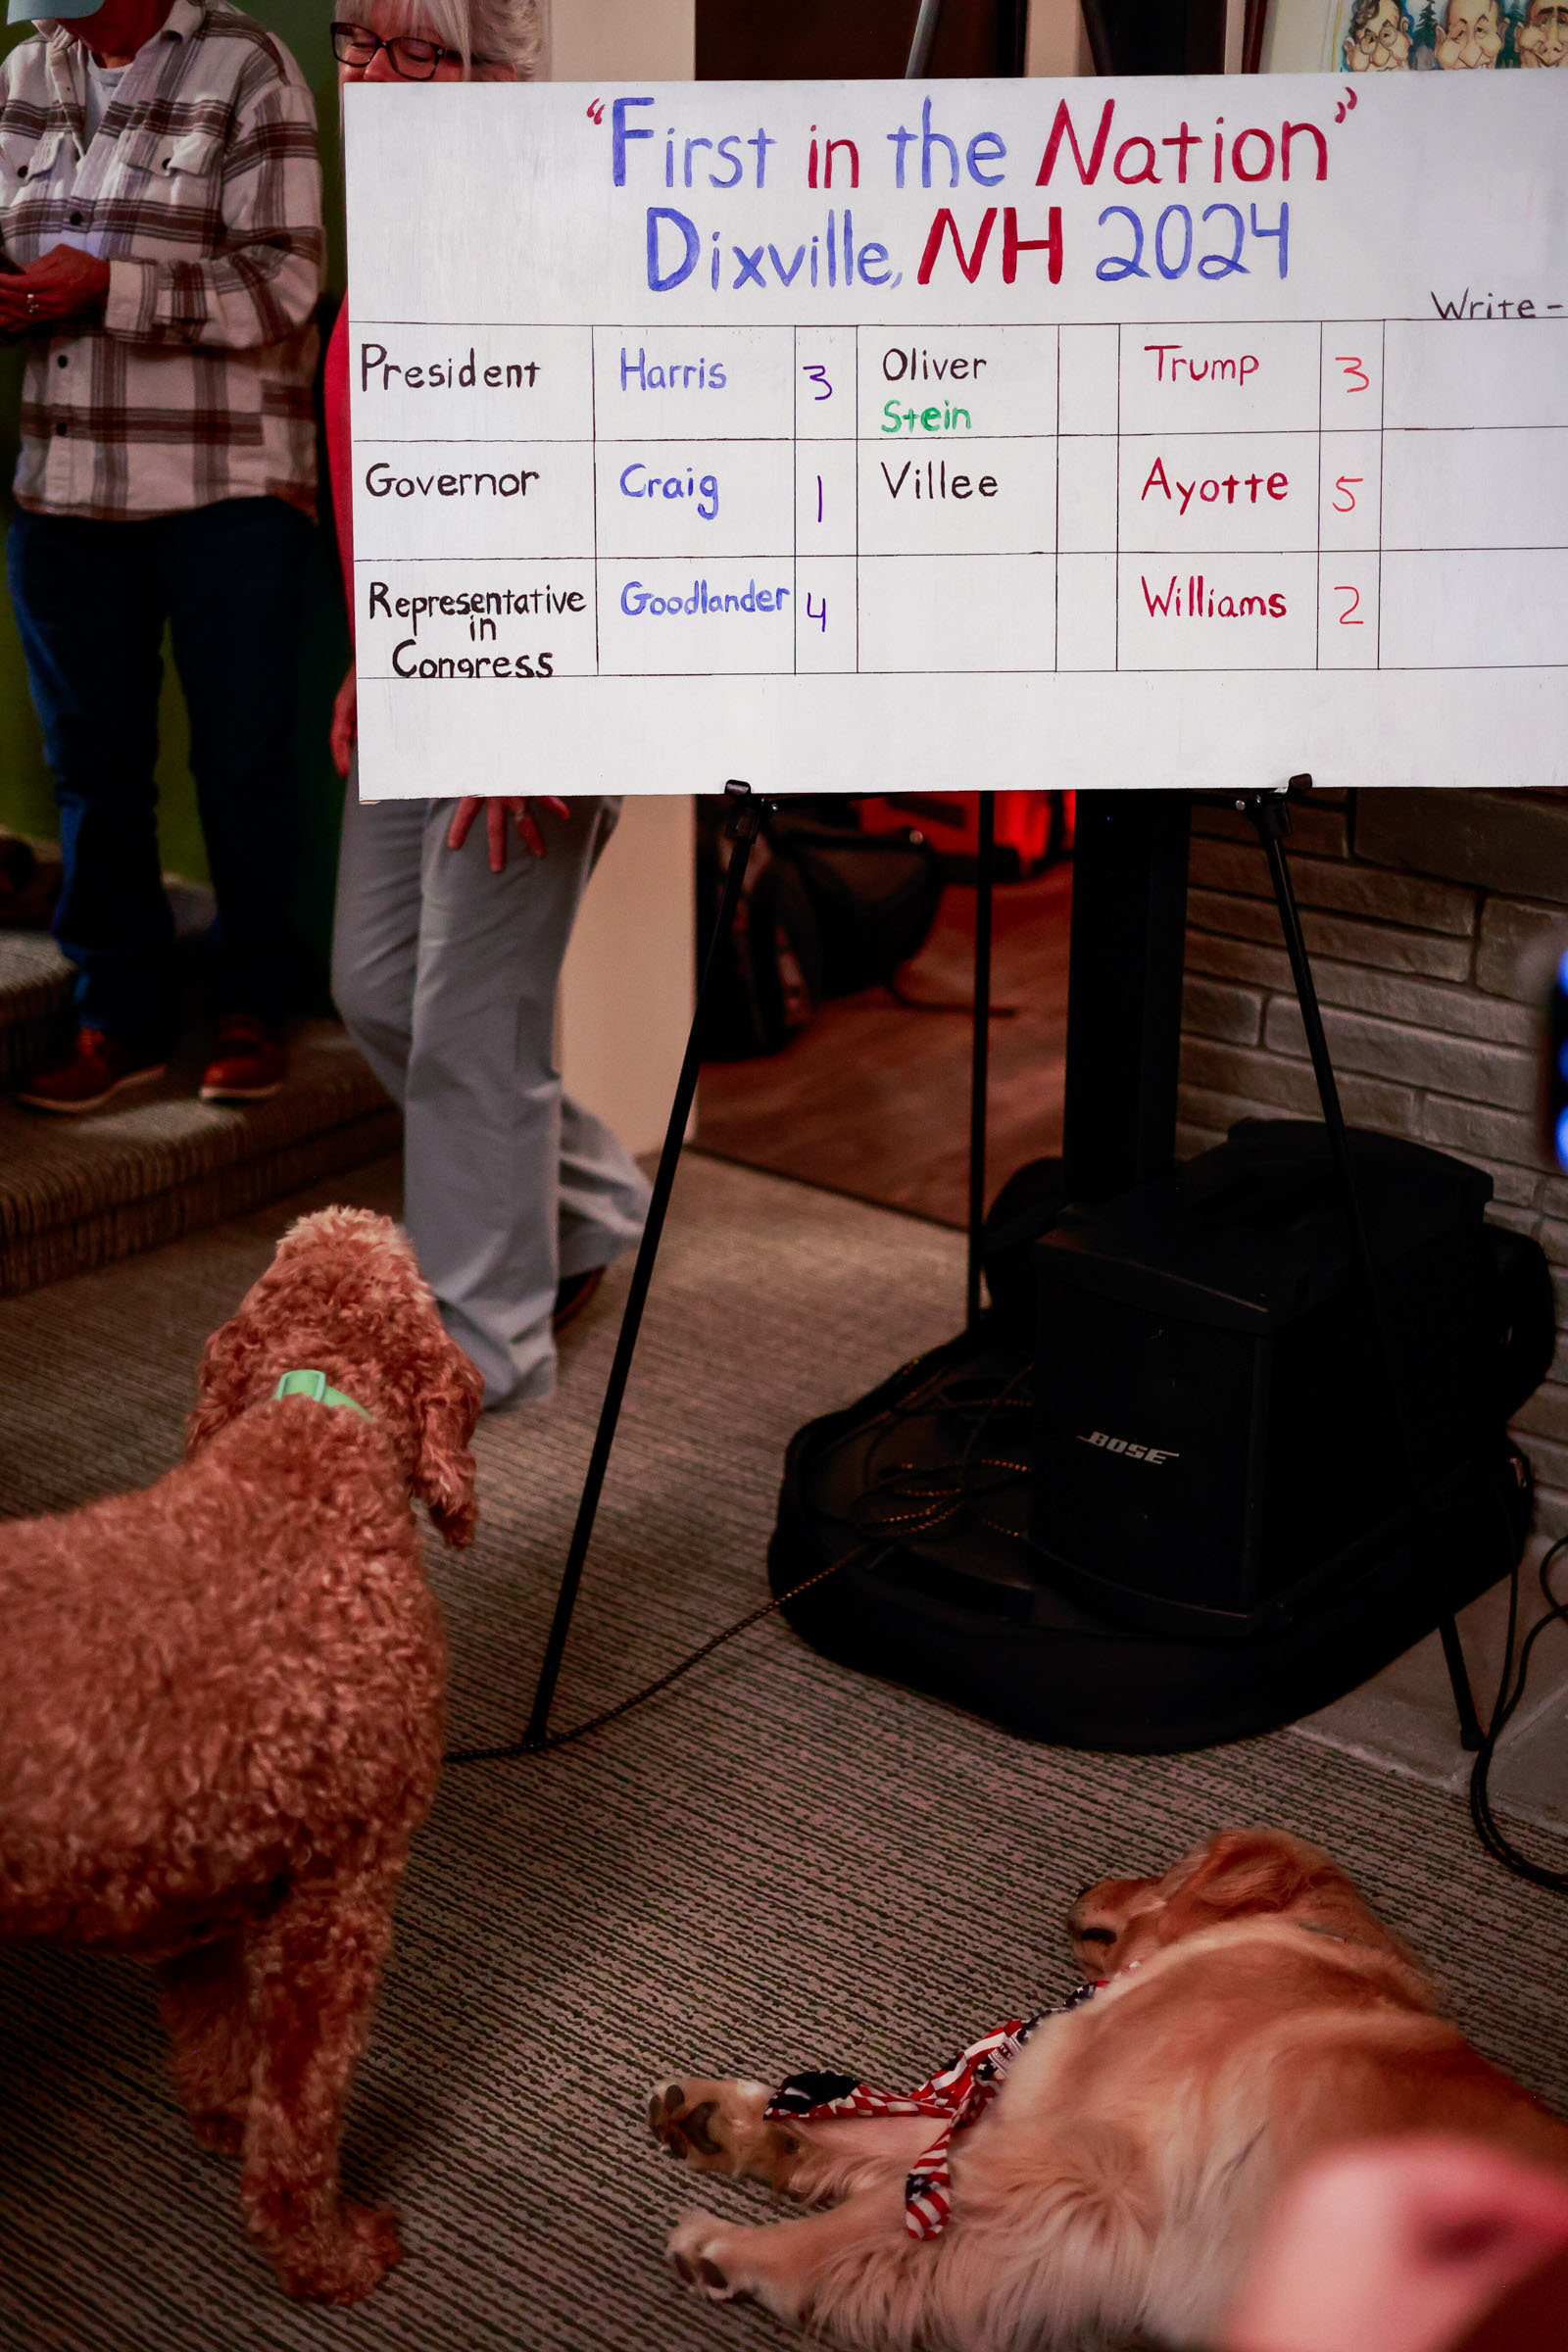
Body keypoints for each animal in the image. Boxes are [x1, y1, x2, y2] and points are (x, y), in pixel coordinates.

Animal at [0, 1213, 484, 2295]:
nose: (370, 1215)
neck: (318, 1418)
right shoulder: (341, 1897)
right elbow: (302, 2113)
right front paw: (323, 2255)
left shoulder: (196, 1891)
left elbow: (220, 2041)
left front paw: (223, 2120)